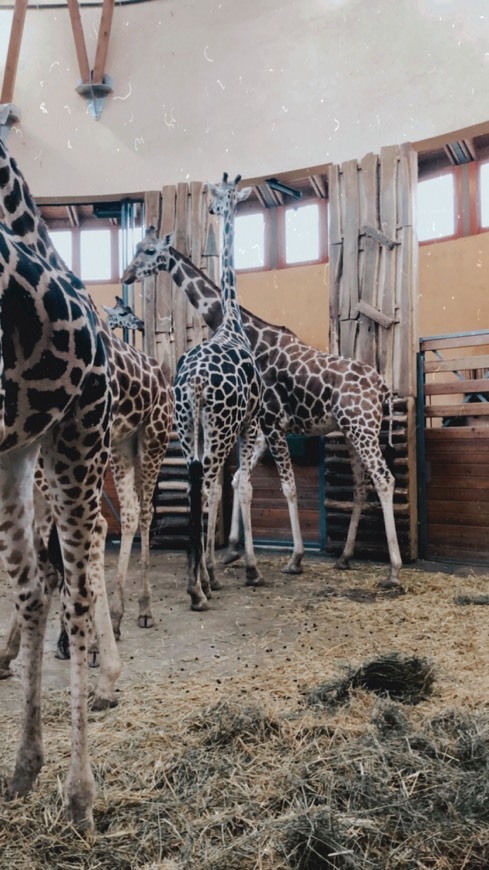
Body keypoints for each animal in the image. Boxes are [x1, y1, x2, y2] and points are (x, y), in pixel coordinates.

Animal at [0, 140, 173, 656]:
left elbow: (75, 538)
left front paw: (81, 640)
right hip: (121, 445)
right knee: (127, 515)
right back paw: (114, 615)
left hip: (152, 439)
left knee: (143, 513)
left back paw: (139, 610)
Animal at [121, 230, 400, 592]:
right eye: (137, 248)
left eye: (150, 251)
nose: (127, 275)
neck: (252, 335)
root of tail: (381, 386)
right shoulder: (263, 428)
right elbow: (240, 479)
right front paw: (233, 551)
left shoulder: (268, 422)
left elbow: (284, 487)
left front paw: (293, 559)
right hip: (352, 432)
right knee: (361, 485)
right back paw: (344, 557)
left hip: (362, 427)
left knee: (384, 479)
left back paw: (393, 570)